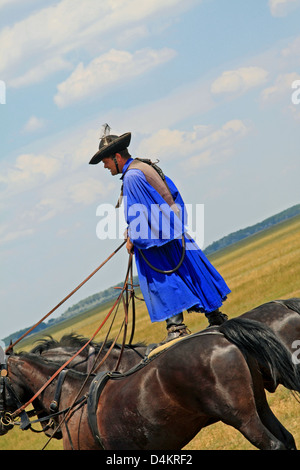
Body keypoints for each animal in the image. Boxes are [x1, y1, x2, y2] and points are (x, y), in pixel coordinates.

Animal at [0, 318, 298, 450]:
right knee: (286, 439)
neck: (73, 398)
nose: (50, 429)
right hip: (259, 407)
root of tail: (222, 334)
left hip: (242, 418)